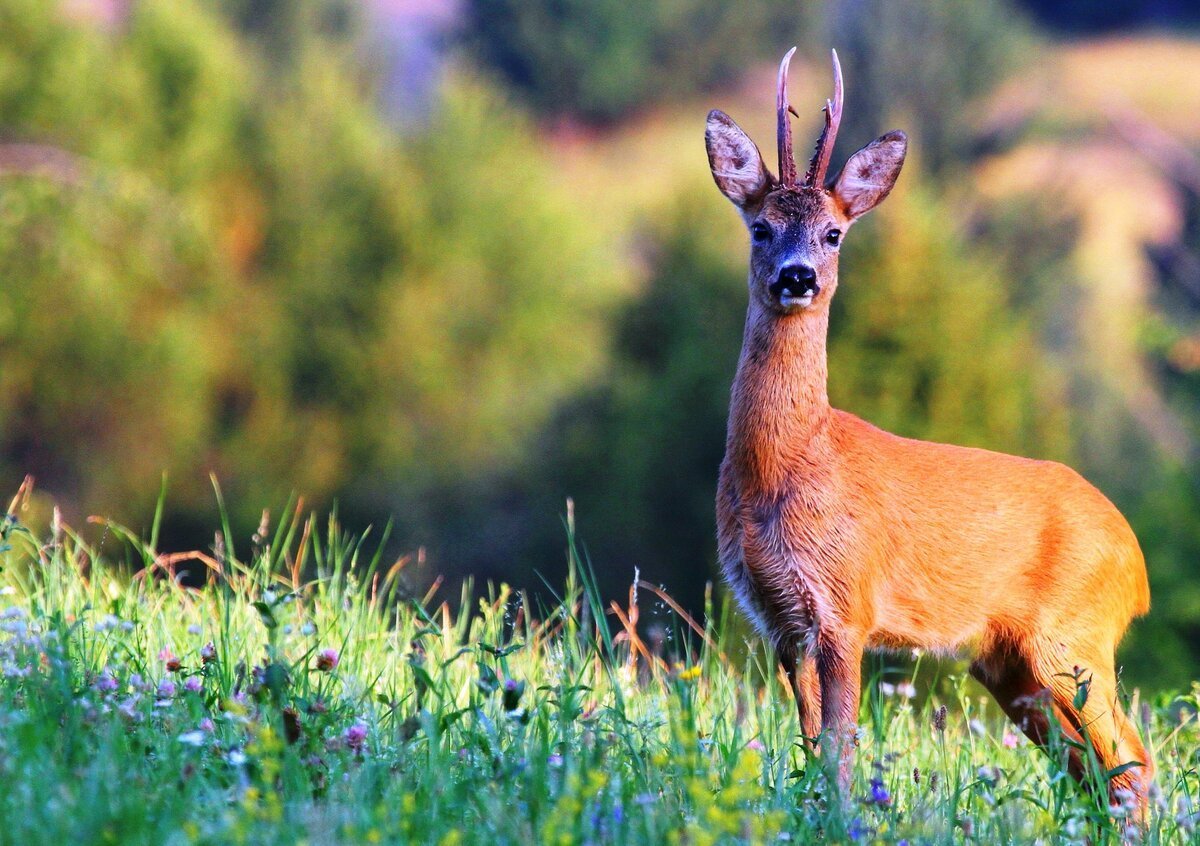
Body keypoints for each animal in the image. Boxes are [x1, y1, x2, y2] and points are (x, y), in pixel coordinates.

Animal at [705, 48, 1147, 811]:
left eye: (834, 233)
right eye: (759, 227)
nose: (797, 277)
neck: (787, 467)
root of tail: (1136, 563)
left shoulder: (845, 605)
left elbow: (839, 750)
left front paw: (843, 818)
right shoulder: (779, 622)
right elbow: (810, 744)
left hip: (1074, 637)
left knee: (1134, 766)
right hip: (1010, 667)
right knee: (1093, 774)